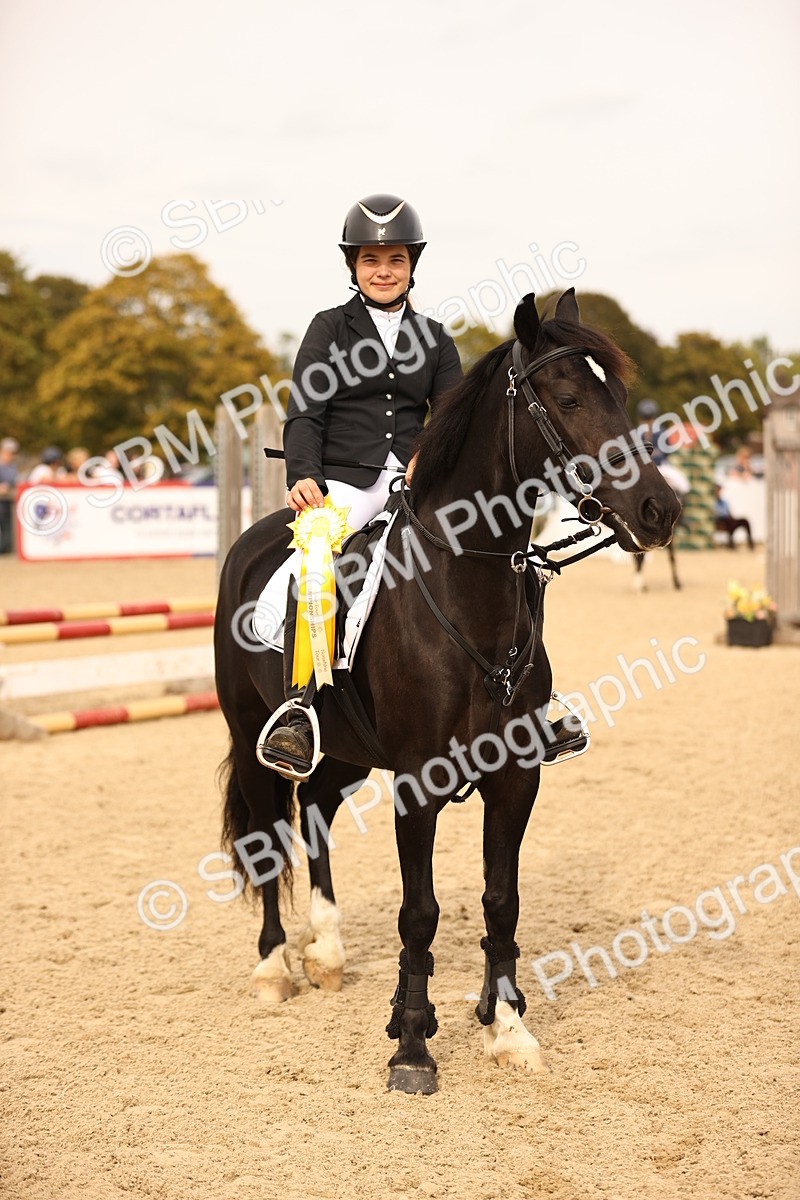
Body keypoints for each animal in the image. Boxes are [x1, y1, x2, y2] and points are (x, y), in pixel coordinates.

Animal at [214, 288, 681, 1094]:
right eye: (568, 399)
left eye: (620, 397)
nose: (660, 510)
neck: (468, 586)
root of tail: (255, 537)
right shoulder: (417, 782)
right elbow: (419, 912)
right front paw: (411, 1047)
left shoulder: (515, 778)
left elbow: (501, 900)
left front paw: (508, 1028)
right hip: (252, 741)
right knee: (268, 838)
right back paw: (275, 967)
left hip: (346, 754)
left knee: (317, 815)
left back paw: (327, 953)